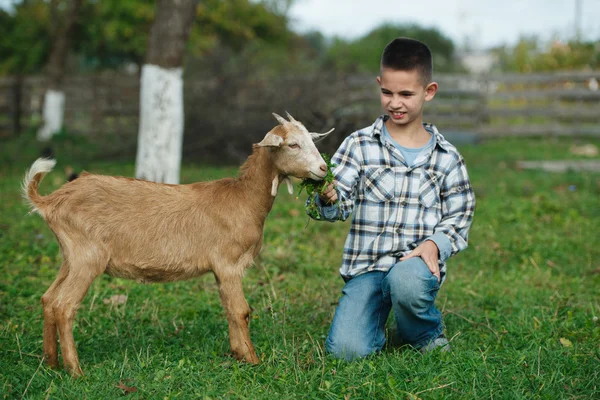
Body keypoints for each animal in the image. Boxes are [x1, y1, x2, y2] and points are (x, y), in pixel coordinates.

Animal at [22, 111, 332, 376]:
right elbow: (242, 311)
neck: (243, 199)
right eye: (292, 144)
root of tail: (50, 201)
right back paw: (75, 371)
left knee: (48, 299)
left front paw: (237, 355)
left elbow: (229, 309)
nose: (323, 168)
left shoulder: (221, 270)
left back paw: (51, 364)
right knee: (64, 306)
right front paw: (254, 360)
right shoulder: (229, 263)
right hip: (87, 258)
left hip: (70, 257)